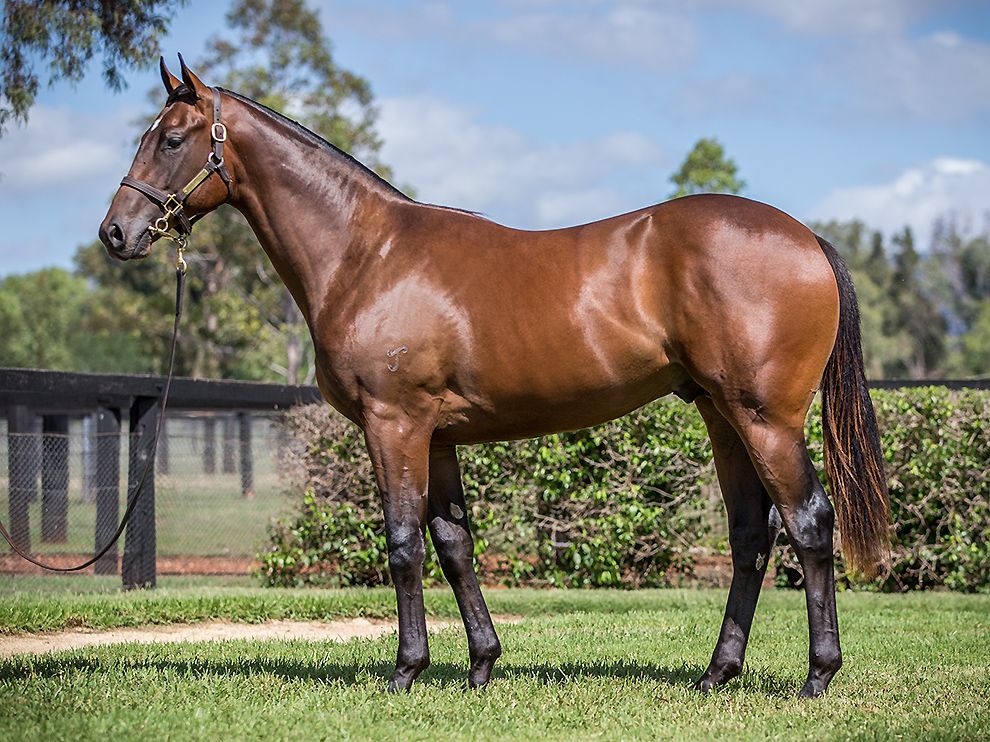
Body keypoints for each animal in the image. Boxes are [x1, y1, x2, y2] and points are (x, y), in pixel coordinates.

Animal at [99, 57, 890, 698]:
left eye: (171, 140)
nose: (115, 233)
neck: (367, 255)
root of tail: (806, 238)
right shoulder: (438, 436)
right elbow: (454, 543)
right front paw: (480, 665)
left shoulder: (394, 424)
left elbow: (402, 543)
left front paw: (406, 670)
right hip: (722, 416)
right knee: (752, 534)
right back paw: (716, 673)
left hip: (765, 419)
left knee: (808, 523)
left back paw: (818, 676)